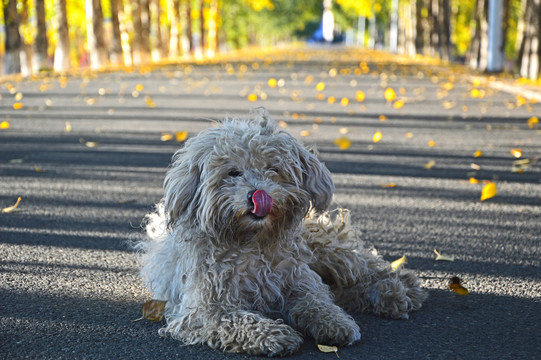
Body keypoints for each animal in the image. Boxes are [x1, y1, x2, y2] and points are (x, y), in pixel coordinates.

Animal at [138, 110, 426, 358]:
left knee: (368, 267)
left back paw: (397, 292)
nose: (257, 194)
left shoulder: (299, 280)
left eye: (273, 169)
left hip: (325, 247)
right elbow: (237, 320)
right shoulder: (206, 309)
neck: (251, 241)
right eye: (233, 172)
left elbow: (316, 302)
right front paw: (274, 335)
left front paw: (336, 322)